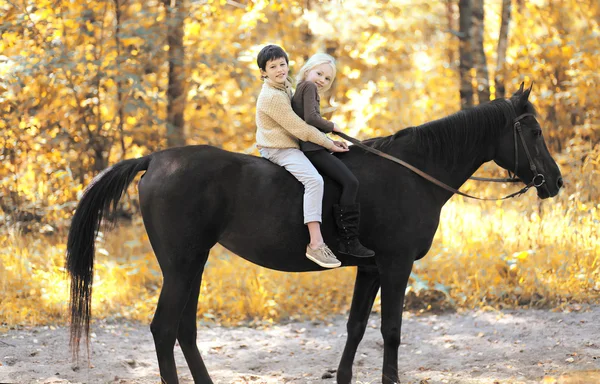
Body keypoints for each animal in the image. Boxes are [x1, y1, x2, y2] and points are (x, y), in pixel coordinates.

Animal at [65, 82, 564, 382]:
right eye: (535, 131)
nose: (555, 182)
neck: (413, 172)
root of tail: (156, 159)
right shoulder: (396, 265)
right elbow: (392, 330)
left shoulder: (371, 268)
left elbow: (357, 327)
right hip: (182, 265)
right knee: (164, 329)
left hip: (192, 265)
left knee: (183, 330)